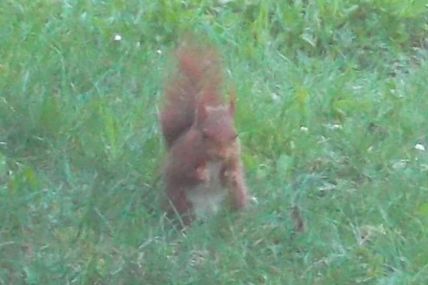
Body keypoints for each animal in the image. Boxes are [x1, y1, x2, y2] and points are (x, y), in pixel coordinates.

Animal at [160, 38, 247, 224]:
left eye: (235, 136)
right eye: (205, 135)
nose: (221, 155)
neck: (212, 161)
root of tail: (210, 216)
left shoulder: (234, 158)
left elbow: (232, 172)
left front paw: (232, 176)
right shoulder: (182, 159)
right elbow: (184, 172)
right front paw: (202, 174)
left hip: (235, 197)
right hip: (182, 200)